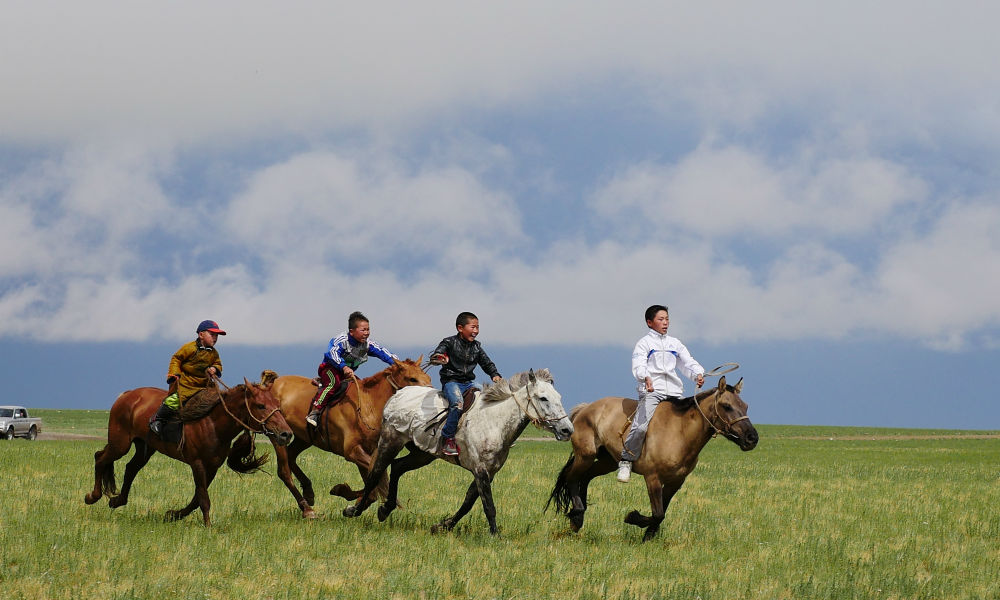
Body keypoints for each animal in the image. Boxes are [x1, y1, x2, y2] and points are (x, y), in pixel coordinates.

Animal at [84, 378, 292, 528]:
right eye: (261, 405)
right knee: (100, 458)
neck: (212, 423)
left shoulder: (212, 466)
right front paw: (208, 526)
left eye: (276, 402)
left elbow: (197, 497)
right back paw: (92, 496)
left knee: (130, 468)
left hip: (144, 447)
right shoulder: (197, 463)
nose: (286, 434)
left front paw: (173, 515)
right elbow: (203, 497)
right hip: (120, 444)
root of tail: (126, 395)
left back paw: (117, 501)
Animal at [266, 358, 430, 516]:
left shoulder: (368, 452)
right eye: (412, 379)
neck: (368, 406)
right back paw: (307, 509)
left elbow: (373, 482)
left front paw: (352, 502)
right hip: (279, 435)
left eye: (427, 378)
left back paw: (309, 492)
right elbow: (377, 478)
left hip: (304, 438)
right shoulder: (353, 451)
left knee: (291, 456)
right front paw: (346, 494)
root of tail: (273, 384)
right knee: (284, 471)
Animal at [344, 370, 576, 536]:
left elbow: (468, 502)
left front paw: (442, 526)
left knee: (397, 467)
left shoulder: (488, 471)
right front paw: (496, 535)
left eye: (558, 396)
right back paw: (354, 511)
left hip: (422, 454)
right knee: (375, 474)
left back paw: (385, 510)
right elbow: (488, 504)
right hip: (390, 441)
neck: (494, 422)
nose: (567, 430)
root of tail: (398, 395)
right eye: (543, 398)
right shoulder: (480, 470)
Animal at [548, 378, 756, 540]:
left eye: (745, 406)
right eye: (727, 406)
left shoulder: (675, 481)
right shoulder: (653, 478)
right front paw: (633, 518)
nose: (752, 438)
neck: (680, 432)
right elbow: (658, 513)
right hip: (586, 456)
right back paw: (577, 517)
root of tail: (585, 409)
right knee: (572, 477)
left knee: (585, 477)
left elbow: (662, 512)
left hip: (608, 462)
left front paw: (649, 535)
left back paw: (580, 512)